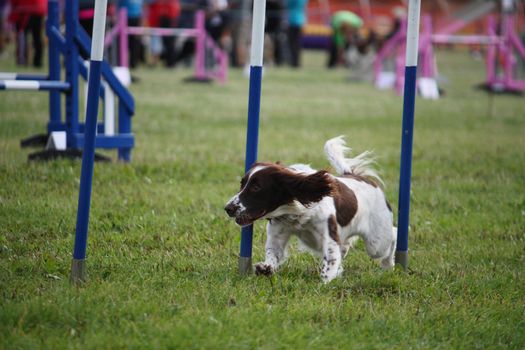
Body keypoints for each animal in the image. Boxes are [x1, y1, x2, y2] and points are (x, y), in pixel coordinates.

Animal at [223, 135, 396, 284]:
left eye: (256, 187)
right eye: (242, 183)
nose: (228, 208)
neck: (294, 213)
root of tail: (359, 177)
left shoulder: (329, 237)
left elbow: (329, 263)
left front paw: (325, 282)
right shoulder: (277, 235)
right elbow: (273, 254)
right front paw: (265, 268)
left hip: (376, 242)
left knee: (394, 233)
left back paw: (388, 264)